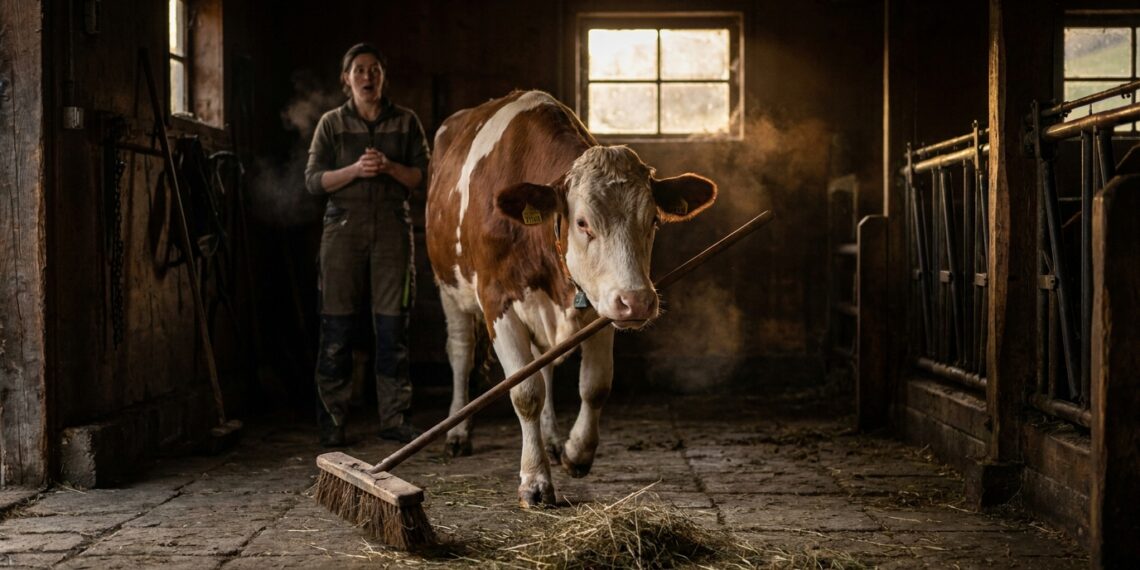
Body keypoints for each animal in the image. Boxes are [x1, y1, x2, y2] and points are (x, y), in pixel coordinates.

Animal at [425, 90, 717, 507]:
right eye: (583, 223)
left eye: (654, 221)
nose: (638, 301)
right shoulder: (497, 301)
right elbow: (525, 391)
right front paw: (535, 480)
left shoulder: (601, 302)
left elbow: (594, 385)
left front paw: (576, 453)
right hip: (449, 286)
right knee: (462, 352)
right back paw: (458, 432)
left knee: (543, 363)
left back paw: (551, 439)